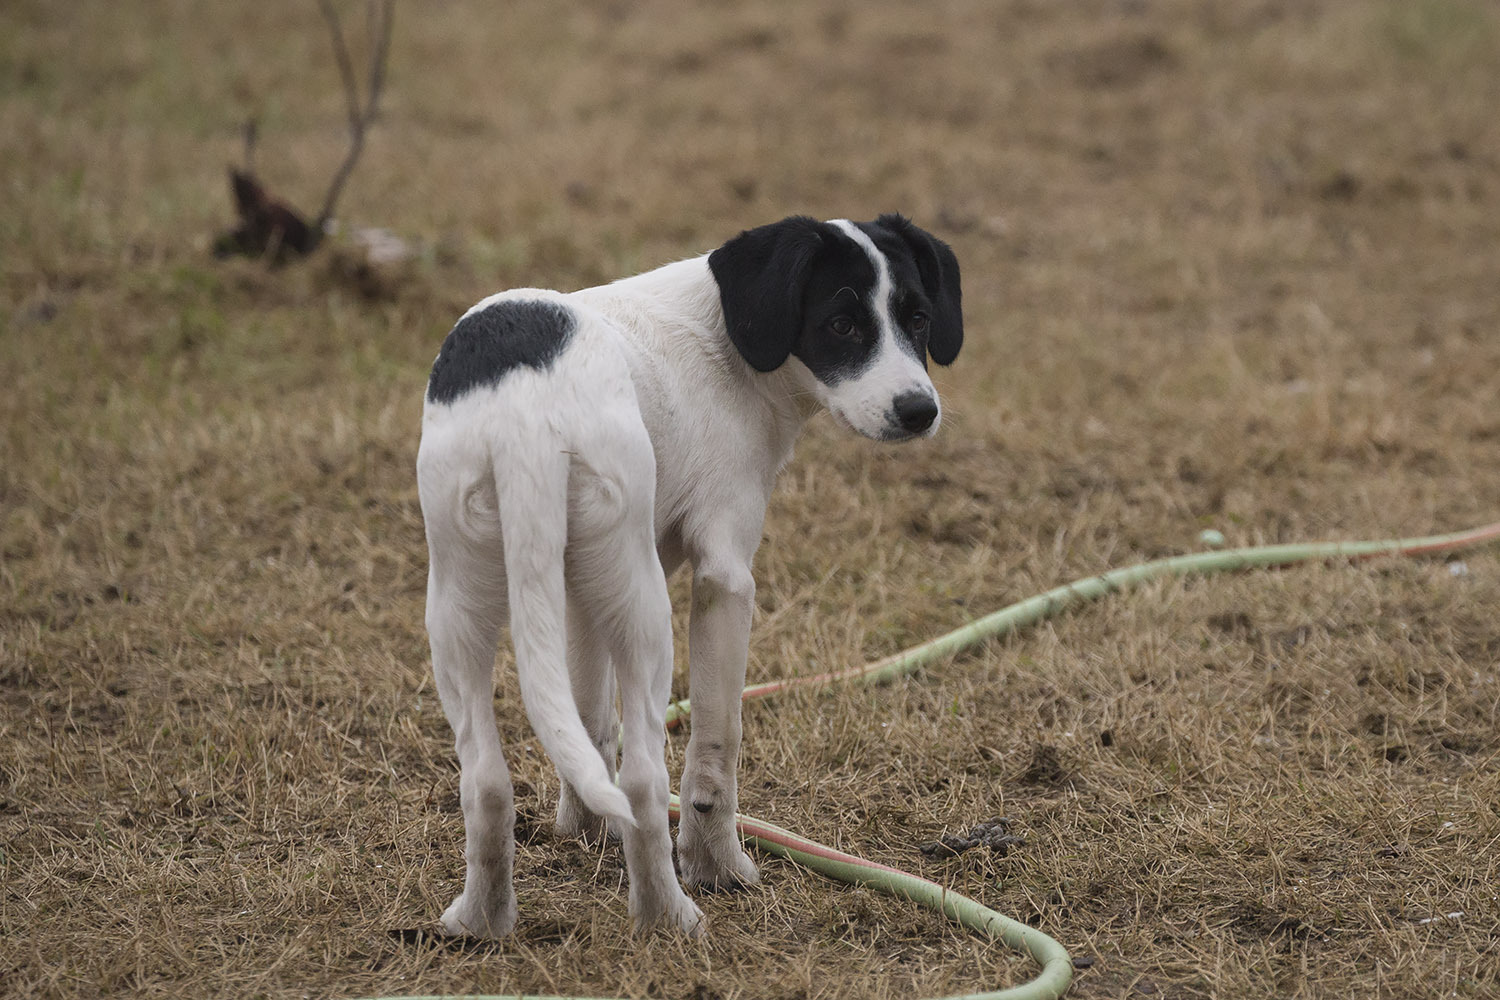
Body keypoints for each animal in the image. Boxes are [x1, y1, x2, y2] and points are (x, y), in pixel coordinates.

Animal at [417, 212, 966, 941]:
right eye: (842, 324)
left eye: (919, 317)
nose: (918, 411)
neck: (729, 342)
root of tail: (521, 416)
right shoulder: (725, 578)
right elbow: (715, 745)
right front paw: (717, 866)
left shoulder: (576, 589)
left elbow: (588, 724)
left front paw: (584, 831)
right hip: (644, 613)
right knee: (646, 778)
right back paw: (668, 915)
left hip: (461, 608)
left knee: (485, 781)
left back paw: (481, 920)